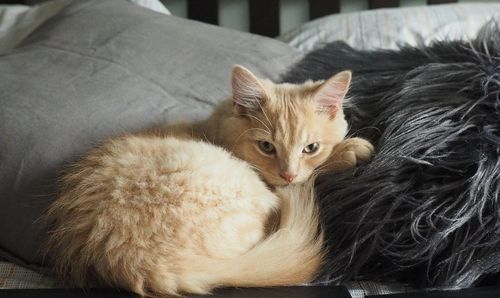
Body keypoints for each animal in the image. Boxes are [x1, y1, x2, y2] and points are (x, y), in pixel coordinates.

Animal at [45, 66, 374, 296]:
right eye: (266, 147)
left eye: (310, 148)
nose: (288, 173)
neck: (213, 128)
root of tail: (136, 260)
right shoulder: (280, 187)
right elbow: (313, 174)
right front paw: (349, 150)